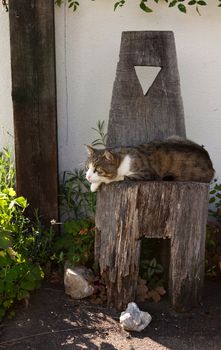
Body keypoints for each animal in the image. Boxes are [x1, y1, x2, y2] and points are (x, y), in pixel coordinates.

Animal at [84, 137, 214, 191]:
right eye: (87, 168)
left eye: (97, 170)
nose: (88, 177)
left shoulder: (146, 173)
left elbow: (117, 178)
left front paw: (94, 185)